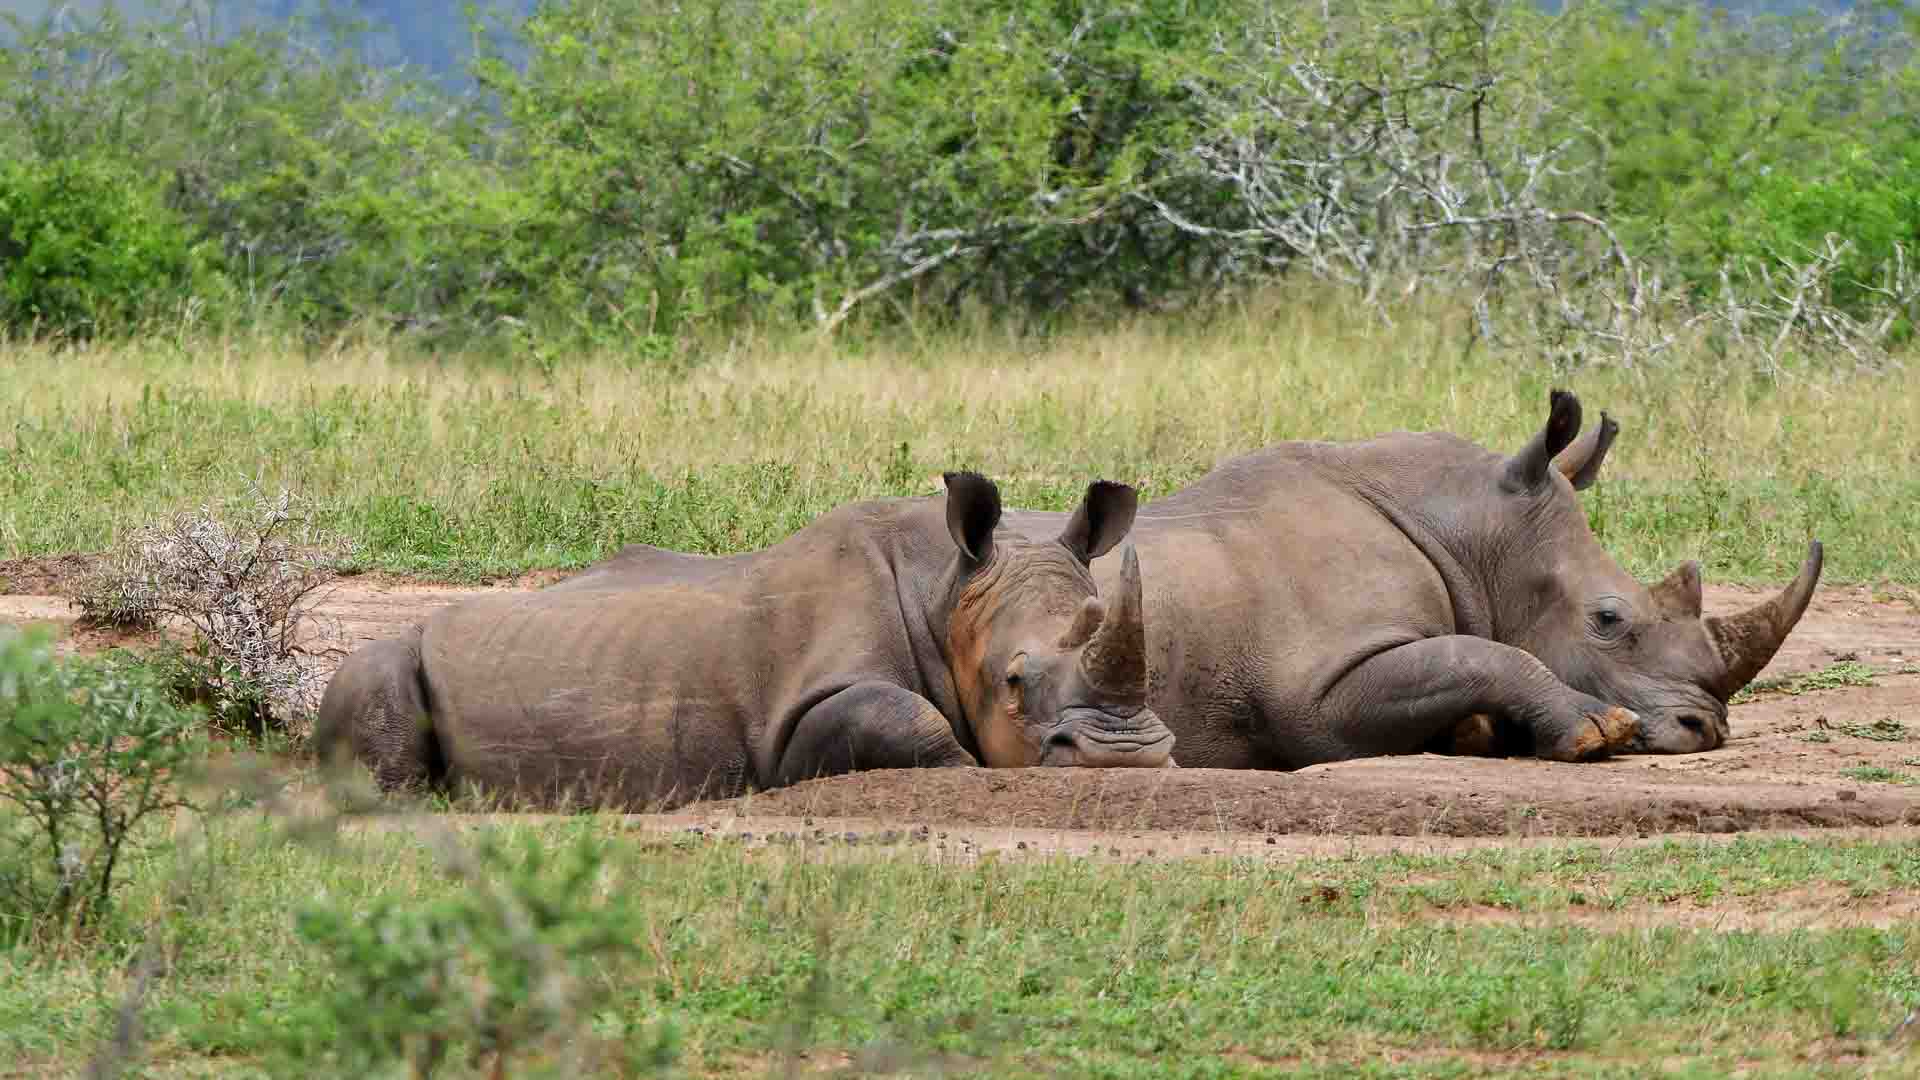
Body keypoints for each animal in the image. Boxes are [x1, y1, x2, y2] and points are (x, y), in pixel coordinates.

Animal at [313, 472, 1176, 809]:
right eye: (1014, 682)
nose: (1125, 760)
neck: (947, 591)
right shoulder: (799, 713)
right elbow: (904, 718)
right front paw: (961, 766)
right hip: (390, 651)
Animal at [1003, 389, 1823, 766]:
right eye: (1608, 620)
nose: (1704, 730)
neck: (1473, 534)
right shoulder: (1313, 698)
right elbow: (1483, 652)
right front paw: (1596, 731)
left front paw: (1477, 732)